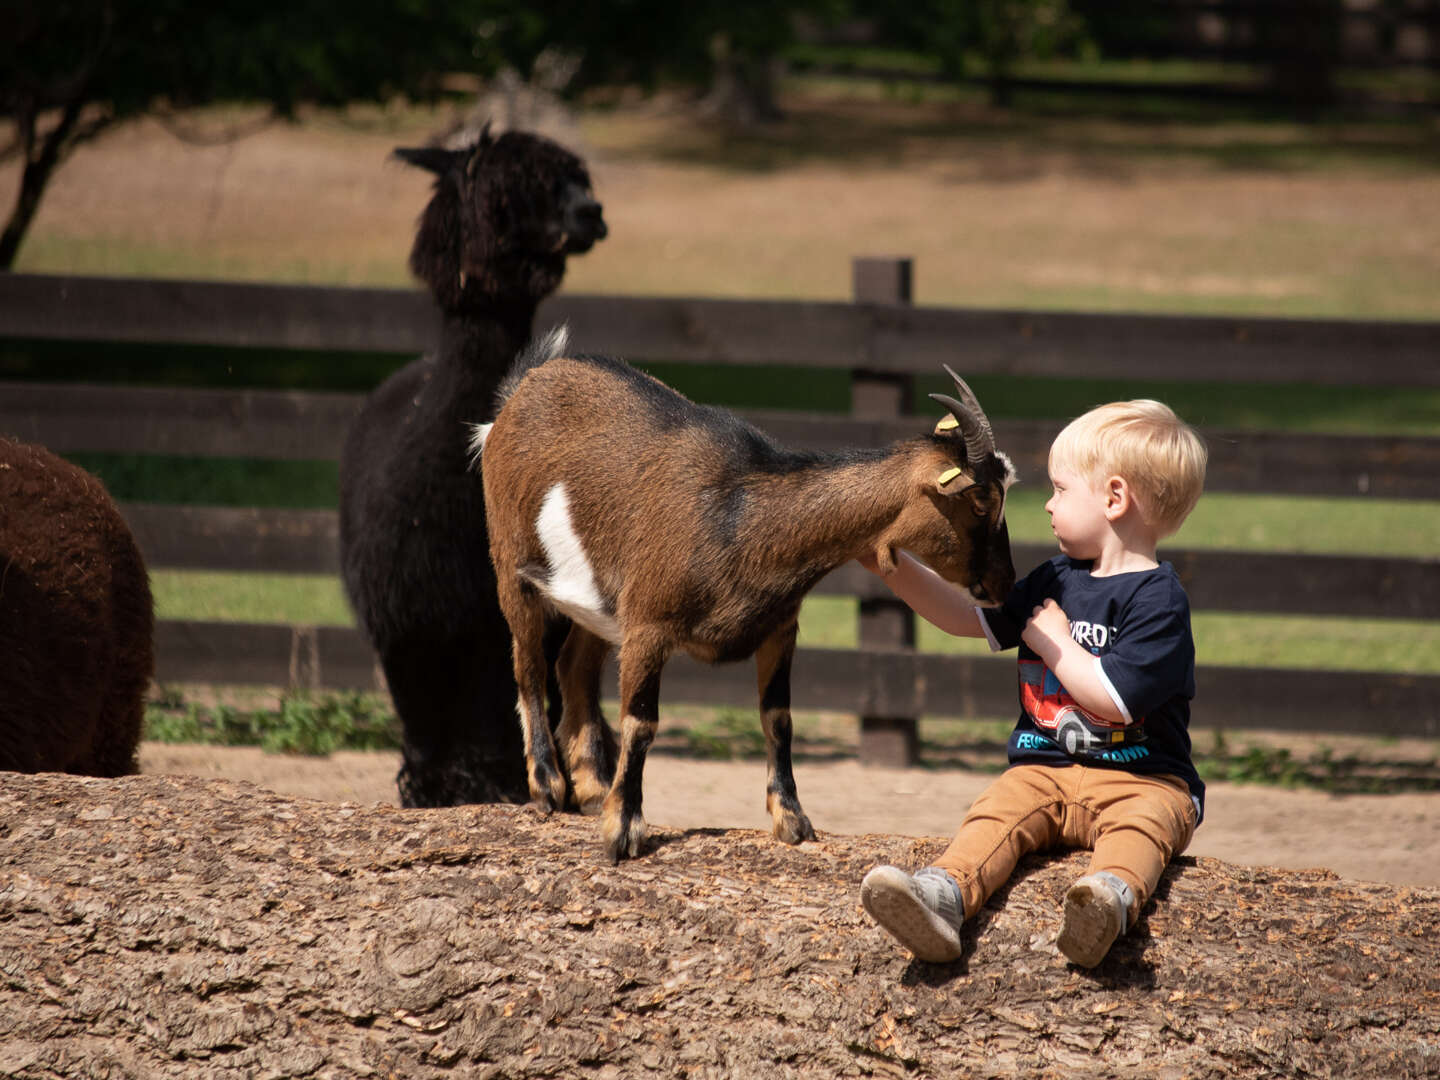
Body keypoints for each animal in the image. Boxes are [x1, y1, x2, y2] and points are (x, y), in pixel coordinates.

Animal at [475, 329, 1013, 864]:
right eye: (979, 502)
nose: (1005, 583)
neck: (739, 518)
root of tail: (524, 387)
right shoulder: (649, 624)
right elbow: (640, 723)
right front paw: (623, 829)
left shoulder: (779, 629)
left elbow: (779, 719)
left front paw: (792, 819)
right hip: (511, 562)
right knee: (530, 668)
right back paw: (547, 786)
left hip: (601, 605)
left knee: (574, 669)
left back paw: (590, 788)